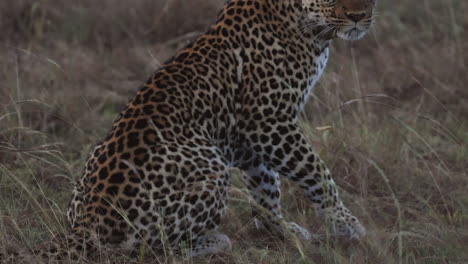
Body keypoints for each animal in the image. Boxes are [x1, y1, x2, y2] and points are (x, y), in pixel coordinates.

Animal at [1, 0, 376, 260]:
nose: (360, 16)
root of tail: (85, 225)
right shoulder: (268, 121)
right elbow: (316, 173)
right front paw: (347, 225)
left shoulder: (250, 137)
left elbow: (265, 188)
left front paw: (280, 230)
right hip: (212, 171)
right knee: (146, 251)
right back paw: (213, 241)